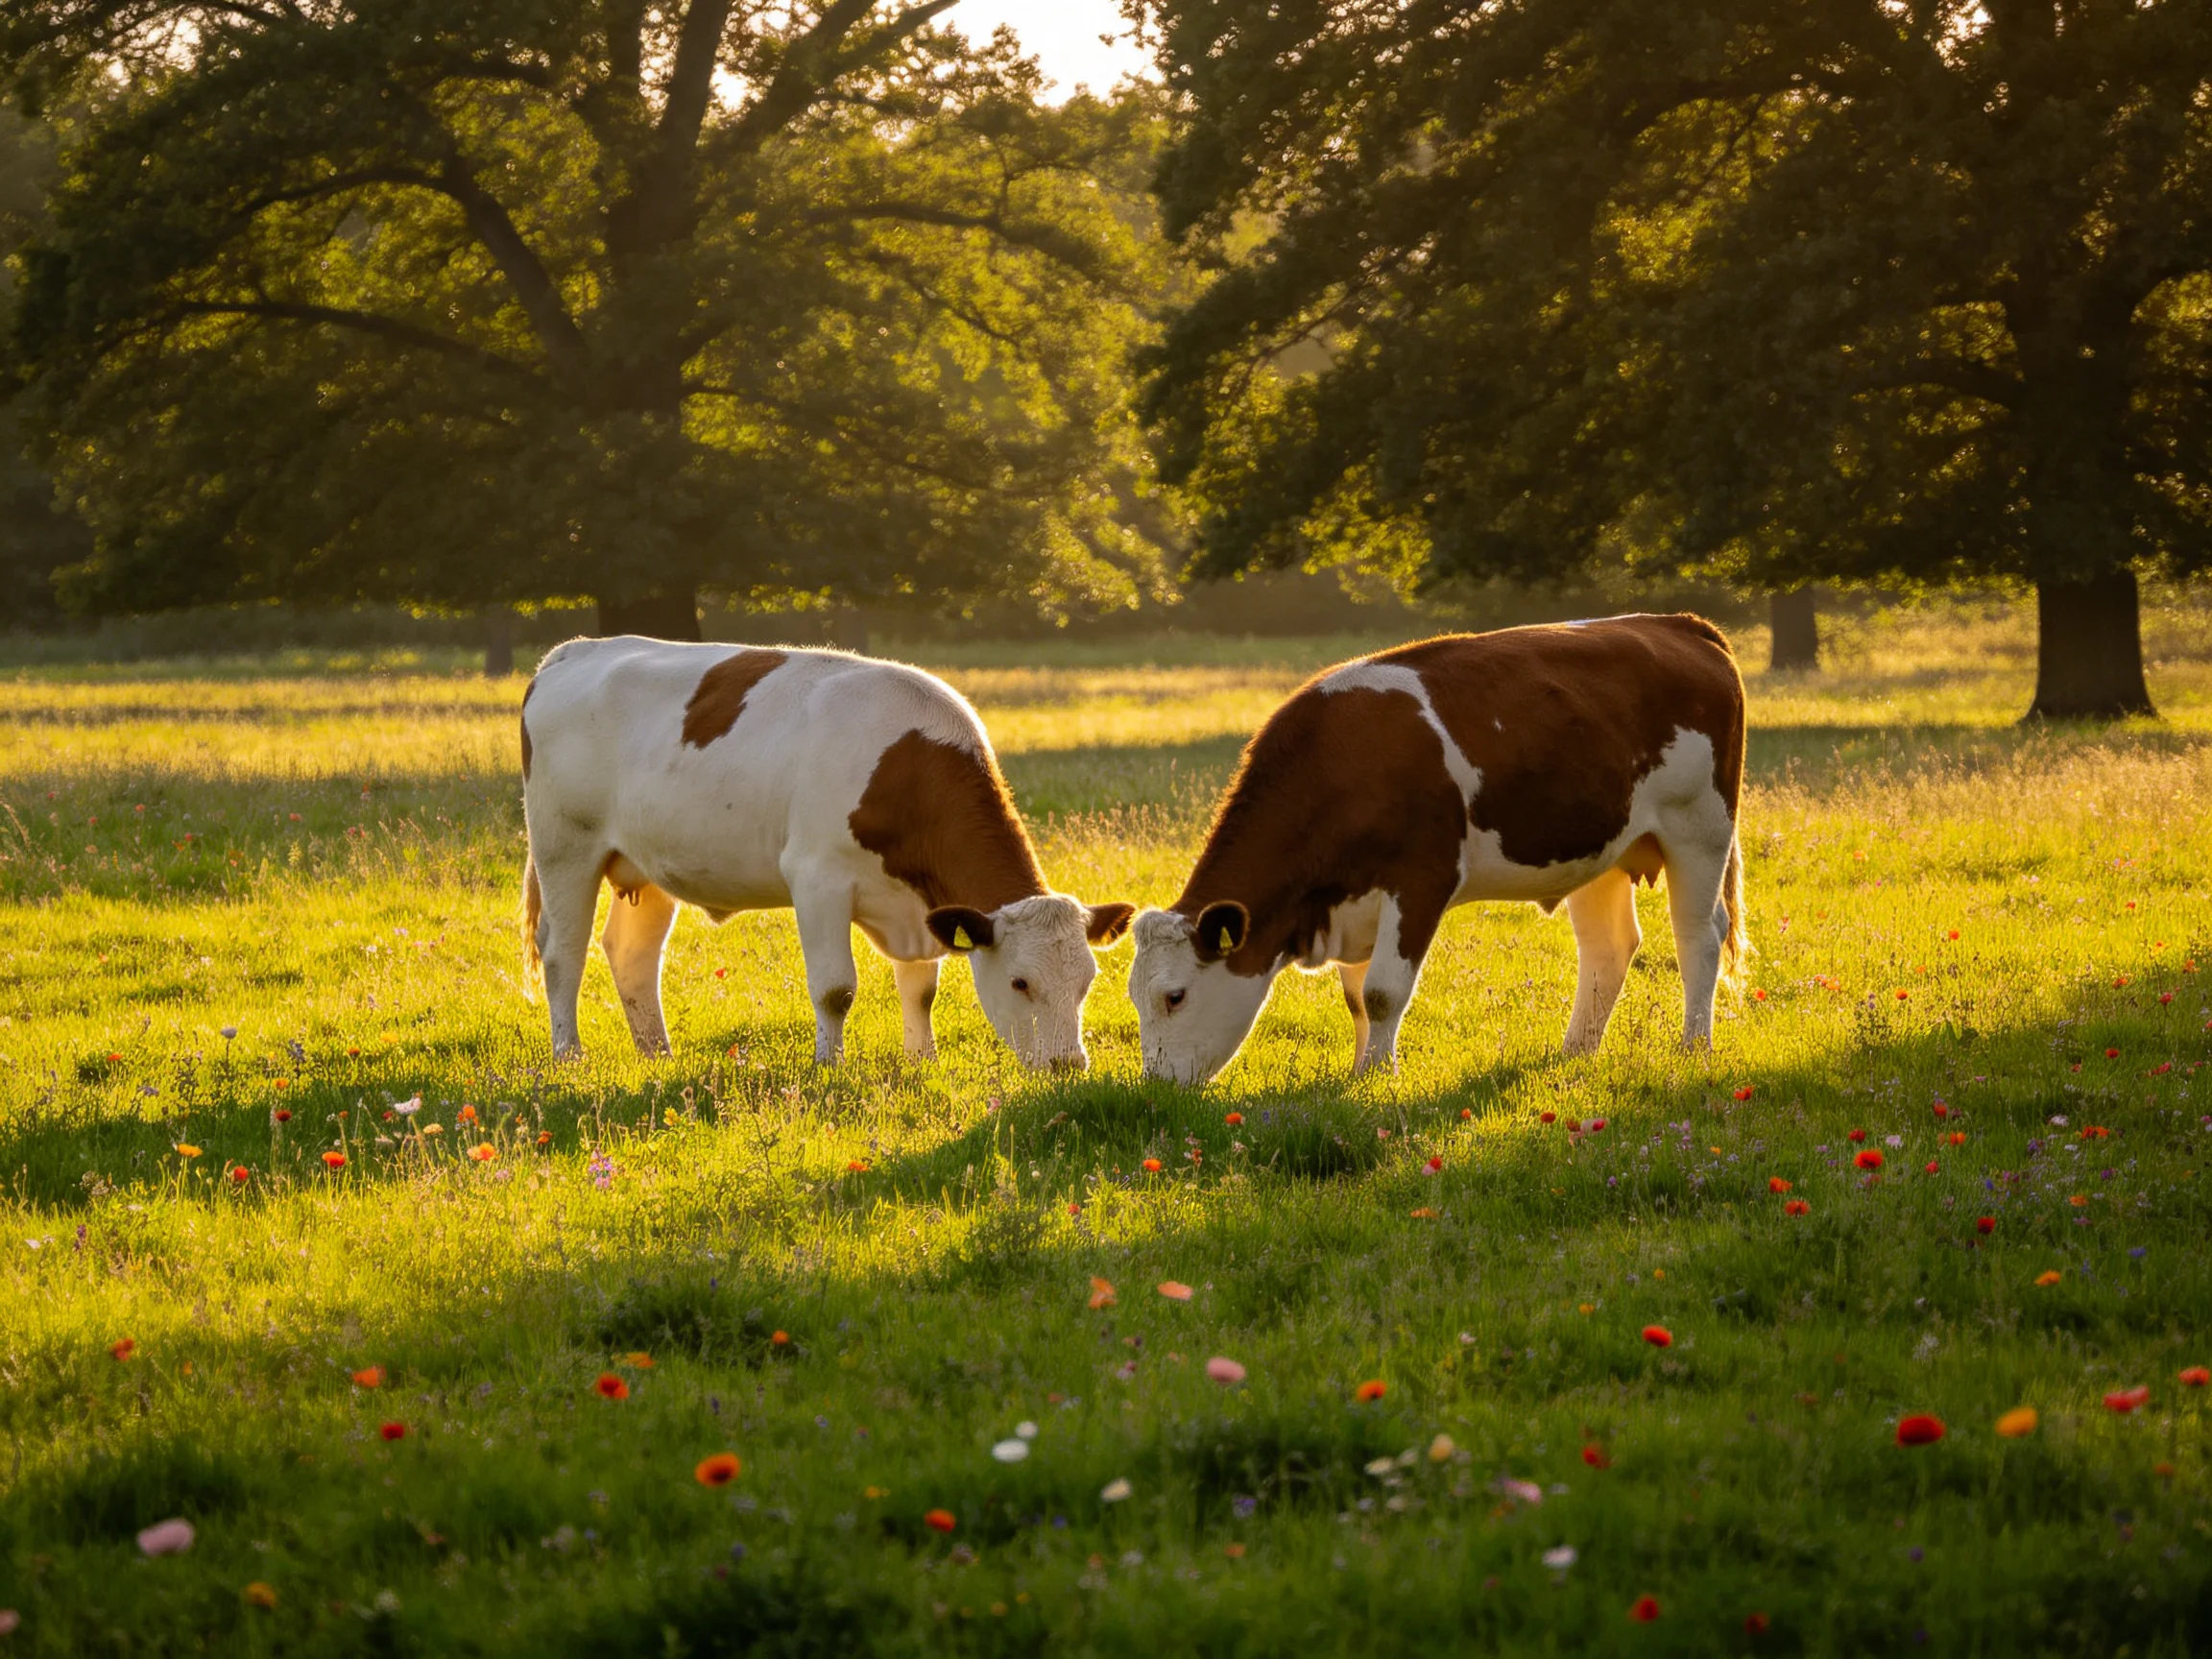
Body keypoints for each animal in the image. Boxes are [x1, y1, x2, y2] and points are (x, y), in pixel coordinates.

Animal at [519, 637, 1134, 1068]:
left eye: (1087, 982)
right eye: (1020, 983)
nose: (1066, 1065)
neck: (903, 768)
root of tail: (573, 651)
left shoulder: (920, 906)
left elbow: (921, 988)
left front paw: (922, 1059)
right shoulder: (817, 880)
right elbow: (836, 989)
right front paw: (829, 1064)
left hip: (646, 866)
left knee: (632, 955)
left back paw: (658, 1054)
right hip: (565, 846)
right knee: (563, 953)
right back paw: (569, 1055)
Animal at [1127, 615, 1748, 1085]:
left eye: (1174, 996)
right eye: (1136, 997)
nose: (1157, 1088)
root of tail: (1679, 625)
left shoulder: (1420, 879)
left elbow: (1382, 991)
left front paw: (1378, 1077)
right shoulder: (1356, 901)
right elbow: (1357, 997)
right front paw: (1361, 1068)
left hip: (1699, 828)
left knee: (1698, 937)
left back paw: (1694, 1048)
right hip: (1604, 850)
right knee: (1609, 947)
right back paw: (1575, 1052)